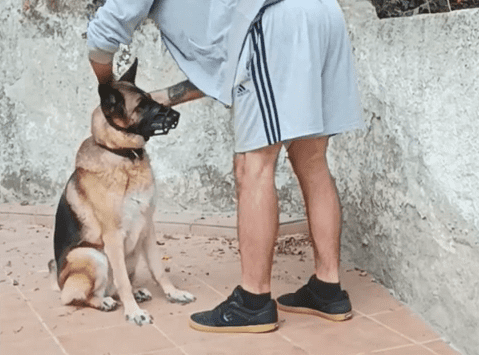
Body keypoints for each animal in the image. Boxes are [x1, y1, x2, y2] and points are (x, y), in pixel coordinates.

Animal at [49, 59, 196, 326]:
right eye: (141, 106)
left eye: (152, 99)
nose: (176, 115)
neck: (126, 157)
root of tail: (59, 282)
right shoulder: (114, 236)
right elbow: (122, 281)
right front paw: (134, 312)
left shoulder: (147, 226)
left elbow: (158, 269)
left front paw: (174, 293)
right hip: (92, 255)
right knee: (79, 297)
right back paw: (104, 301)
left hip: (133, 252)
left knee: (118, 283)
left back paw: (133, 292)